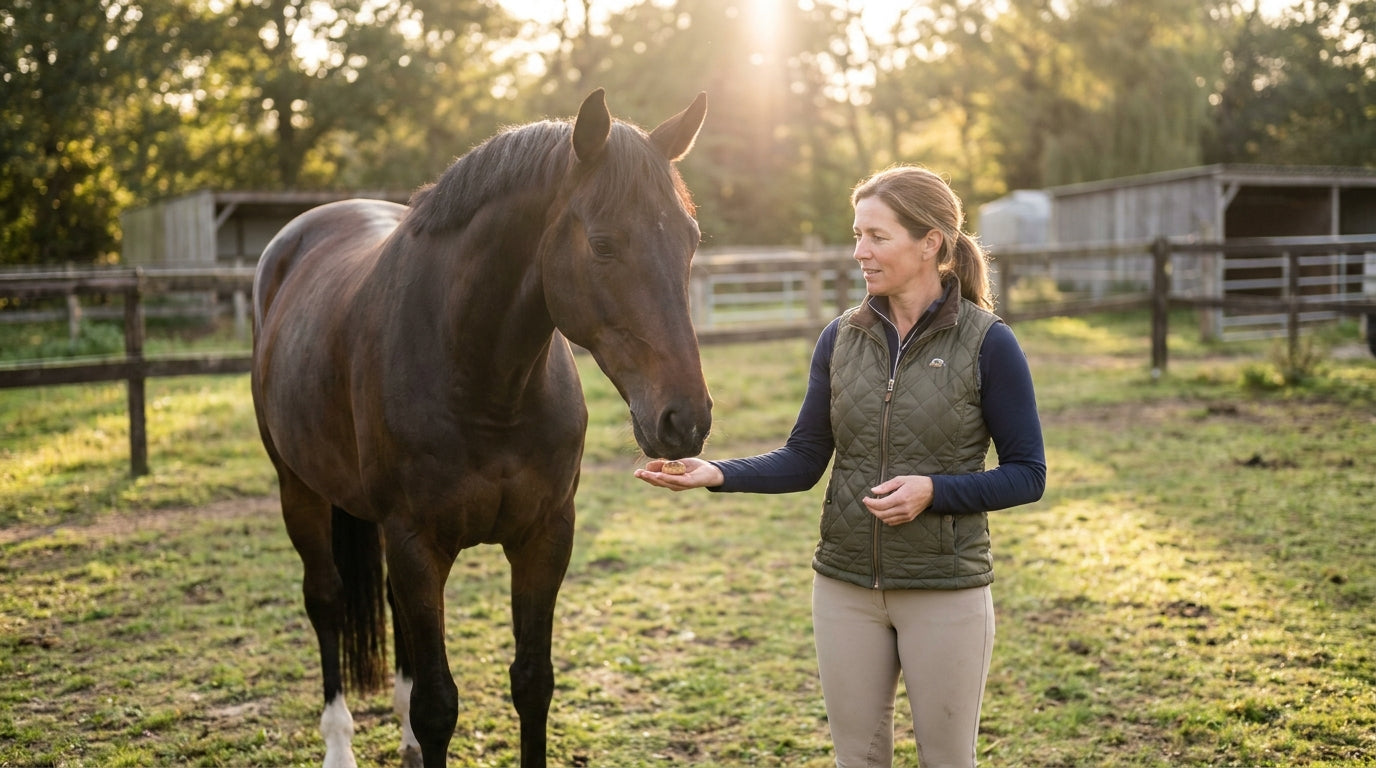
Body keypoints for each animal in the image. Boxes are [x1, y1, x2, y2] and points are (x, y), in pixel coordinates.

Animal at [250, 89, 712, 768]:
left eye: (690, 240)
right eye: (603, 245)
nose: (686, 419)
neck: (484, 382)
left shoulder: (545, 536)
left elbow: (532, 682)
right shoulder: (417, 543)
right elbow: (439, 705)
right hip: (299, 490)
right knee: (327, 599)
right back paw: (339, 744)